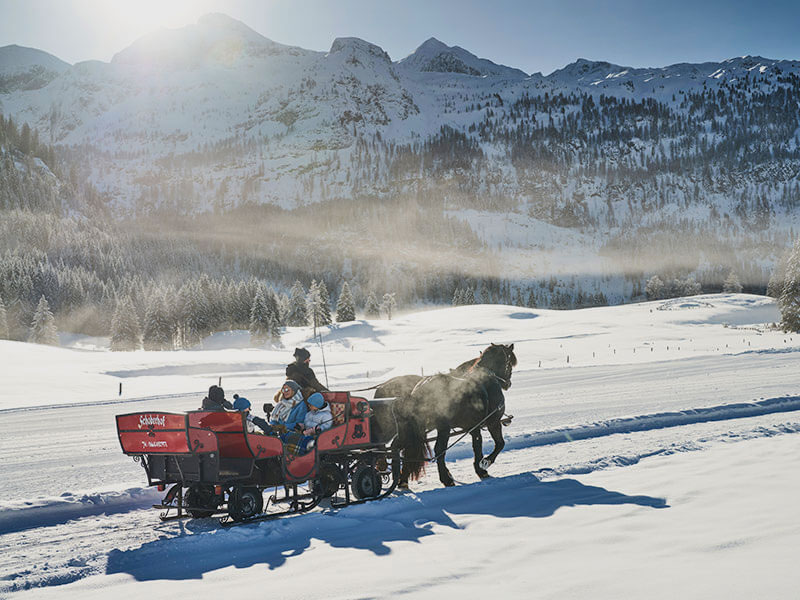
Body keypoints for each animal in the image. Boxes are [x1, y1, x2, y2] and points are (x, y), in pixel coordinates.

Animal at [370, 342, 516, 488]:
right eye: (509, 363)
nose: (508, 383)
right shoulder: (493, 422)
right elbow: (500, 443)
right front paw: (485, 463)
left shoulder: (473, 427)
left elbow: (477, 445)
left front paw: (480, 469)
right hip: (441, 428)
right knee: (438, 450)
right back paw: (446, 479)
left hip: (413, 428)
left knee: (399, 446)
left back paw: (401, 479)